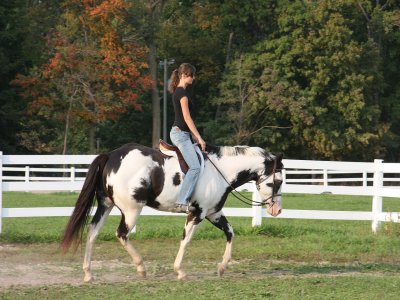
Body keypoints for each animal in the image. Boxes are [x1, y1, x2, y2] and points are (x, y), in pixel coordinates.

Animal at [61, 142, 282, 282]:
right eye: (277, 182)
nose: (277, 210)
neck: (220, 171)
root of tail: (112, 156)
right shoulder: (198, 214)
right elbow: (186, 241)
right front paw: (180, 271)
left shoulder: (213, 213)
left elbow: (230, 233)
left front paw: (222, 267)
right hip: (131, 210)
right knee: (121, 234)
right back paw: (141, 268)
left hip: (105, 205)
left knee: (92, 232)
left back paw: (88, 273)